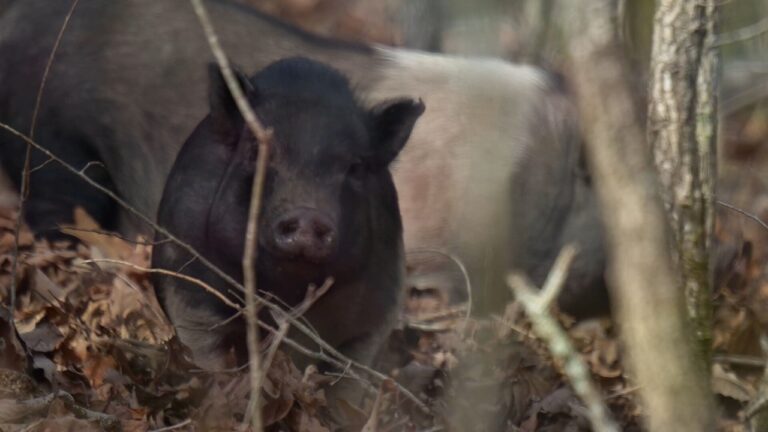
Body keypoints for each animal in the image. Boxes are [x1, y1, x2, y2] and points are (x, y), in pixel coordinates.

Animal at [151, 57, 424, 369]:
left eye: (355, 167)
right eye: (256, 151)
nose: (308, 215)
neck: (286, 292)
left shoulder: (376, 315)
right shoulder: (188, 293)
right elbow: (206, 354)